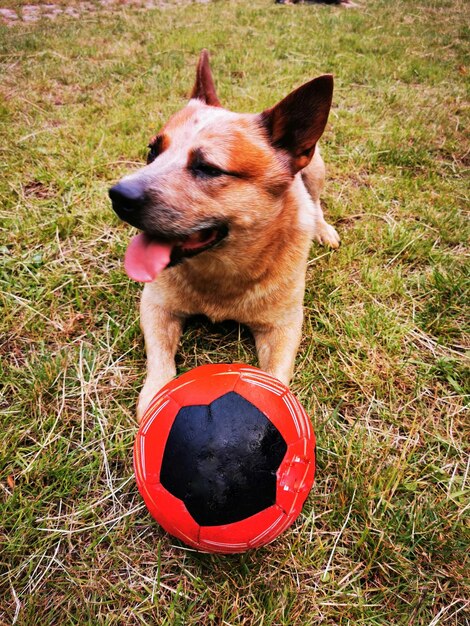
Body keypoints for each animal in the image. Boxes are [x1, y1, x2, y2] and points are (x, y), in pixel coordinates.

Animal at [109, 50, 340, 420]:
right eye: (152, 152)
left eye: (208, 168)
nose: (118, 195)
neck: (221, 276)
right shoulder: (156, 305)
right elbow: (160, 360)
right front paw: (155, 396)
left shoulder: (284, 326)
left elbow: (276, 378)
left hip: (316, 168)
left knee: (315, 201)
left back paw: (323, 228)